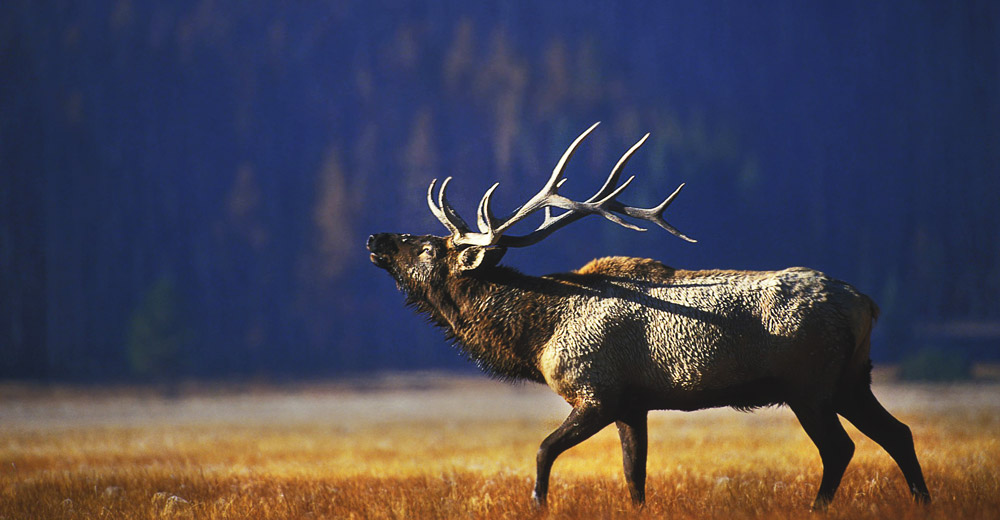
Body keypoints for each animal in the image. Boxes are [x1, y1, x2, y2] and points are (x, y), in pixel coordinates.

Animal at [366, 122, 931, 509]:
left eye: (427, 246)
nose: (376, 238)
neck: (537, 336)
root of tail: (866, 304)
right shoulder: (632, 405)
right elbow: (634, 476)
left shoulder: (596, 392)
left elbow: (544, 451)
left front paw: (539, 504)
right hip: (853, 379)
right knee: (898, 433)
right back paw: (922, 502)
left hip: (808, 385)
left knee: (840, 448)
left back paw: (818, 508)